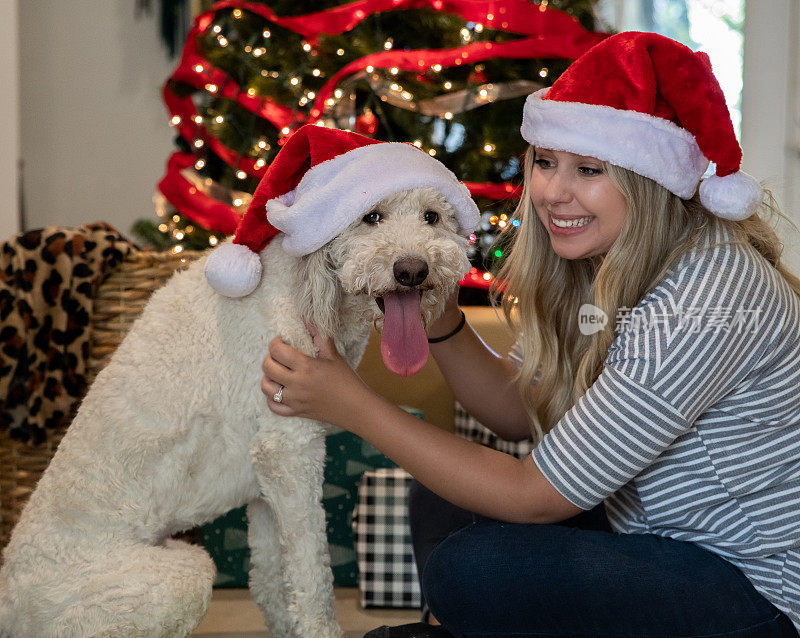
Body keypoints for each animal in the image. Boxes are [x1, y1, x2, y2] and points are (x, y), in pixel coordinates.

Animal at [0, 182, 472, 636]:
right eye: (370, 217)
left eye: (432, 217)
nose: (412, 270)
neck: (308, 282)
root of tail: (9, 595)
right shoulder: (289, 453)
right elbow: (312, 581)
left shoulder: (266, 482)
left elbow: (271, 583)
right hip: (174, 579)